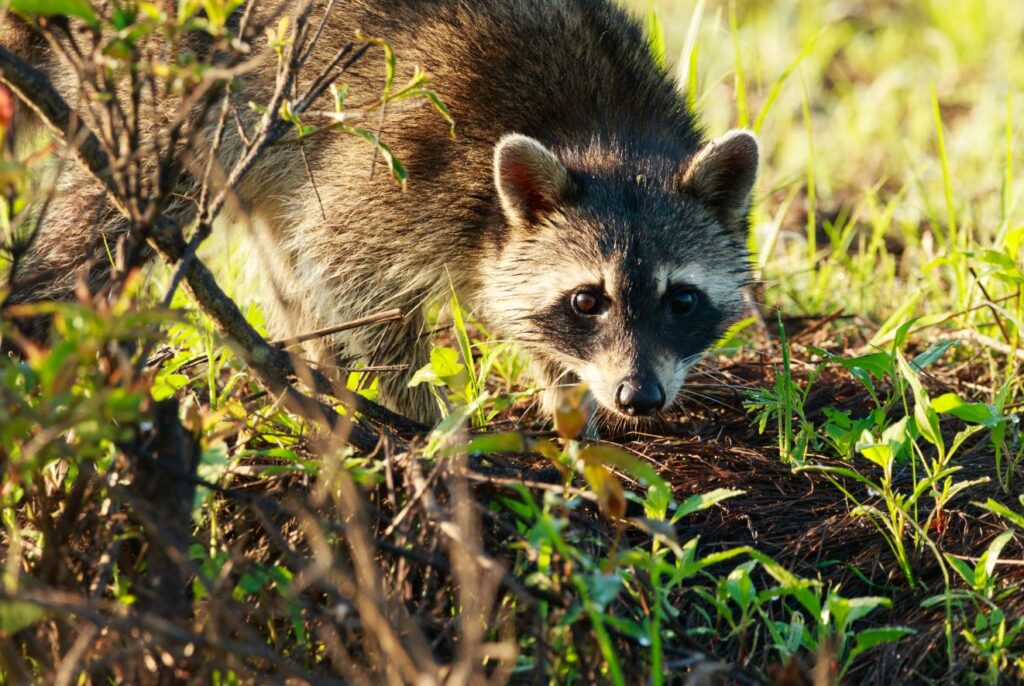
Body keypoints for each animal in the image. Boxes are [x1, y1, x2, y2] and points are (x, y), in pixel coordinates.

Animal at [4, 0, 757, 427]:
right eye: (586, 300)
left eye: (682, 299)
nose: (640, 397)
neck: (605, 131)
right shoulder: (410, 154)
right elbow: (345, 270)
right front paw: (427, 415)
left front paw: (571, 402)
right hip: (160, 80)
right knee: (105, 224)